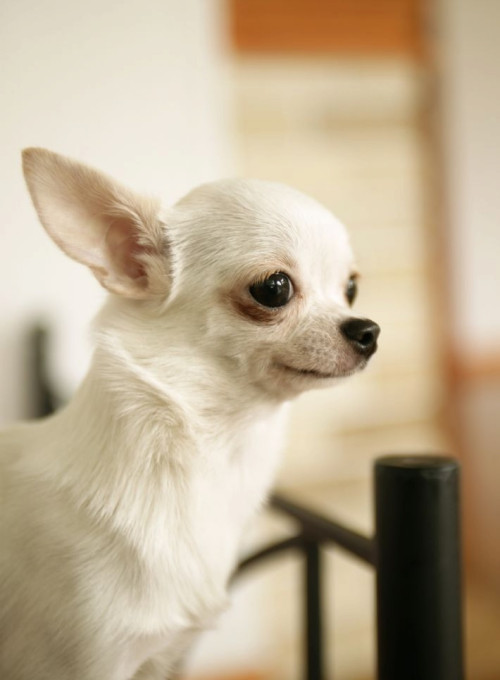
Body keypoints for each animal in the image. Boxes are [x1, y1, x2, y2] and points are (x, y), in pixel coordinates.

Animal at [0, 150, 378, 680]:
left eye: (351, 289)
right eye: (274, 288)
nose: (368, 331)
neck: (218, 455)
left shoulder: (162, 659)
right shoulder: (79, 663)